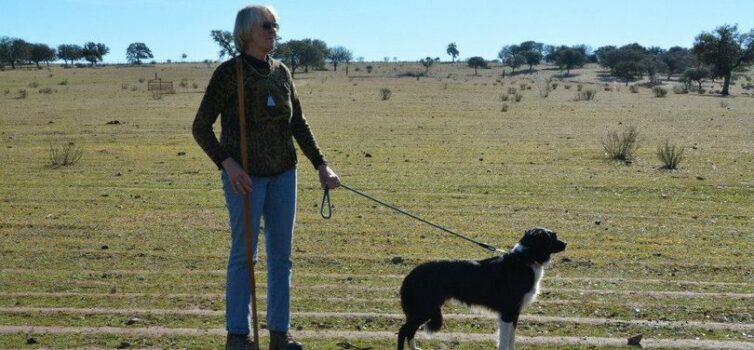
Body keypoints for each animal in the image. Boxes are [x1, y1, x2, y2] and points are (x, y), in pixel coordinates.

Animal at [394, 227, 564, 350]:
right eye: (552, 237)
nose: (566, 243)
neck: (524, 259)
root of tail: (412, 273)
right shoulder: (508, 312)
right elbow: (504, 340)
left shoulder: (515, 312)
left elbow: (511, 339)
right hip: (425, 308)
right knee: (404, 330)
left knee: (410, 331)